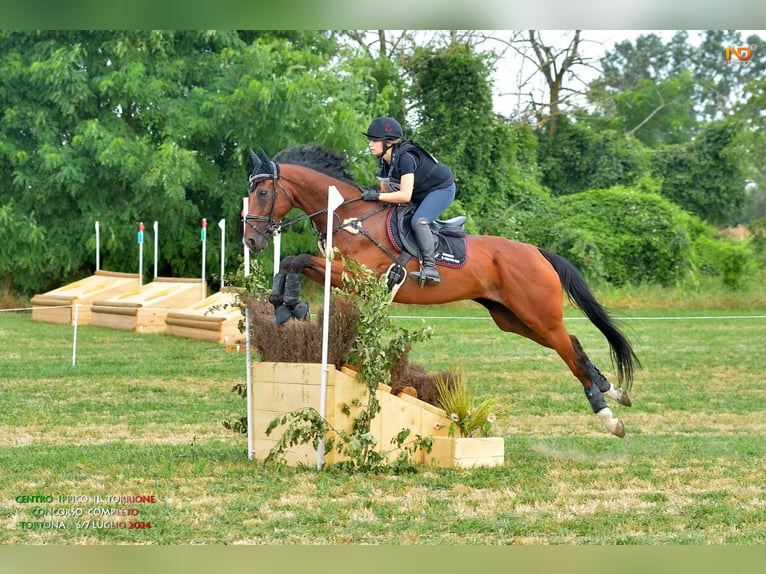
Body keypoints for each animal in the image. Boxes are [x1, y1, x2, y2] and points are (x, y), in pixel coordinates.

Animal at [243, 146, 640, 438]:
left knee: (569, 351)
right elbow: (290, 262)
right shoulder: (339, 275)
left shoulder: (356, 277)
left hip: (537, 314)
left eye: (262, 192)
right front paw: (284, 304)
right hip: (513, 319)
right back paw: (613, 390)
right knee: (571, 342)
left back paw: (608, 416)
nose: (251, 240)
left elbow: (295, 260)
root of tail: (536, 252)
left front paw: (288, 303)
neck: (351, 218)